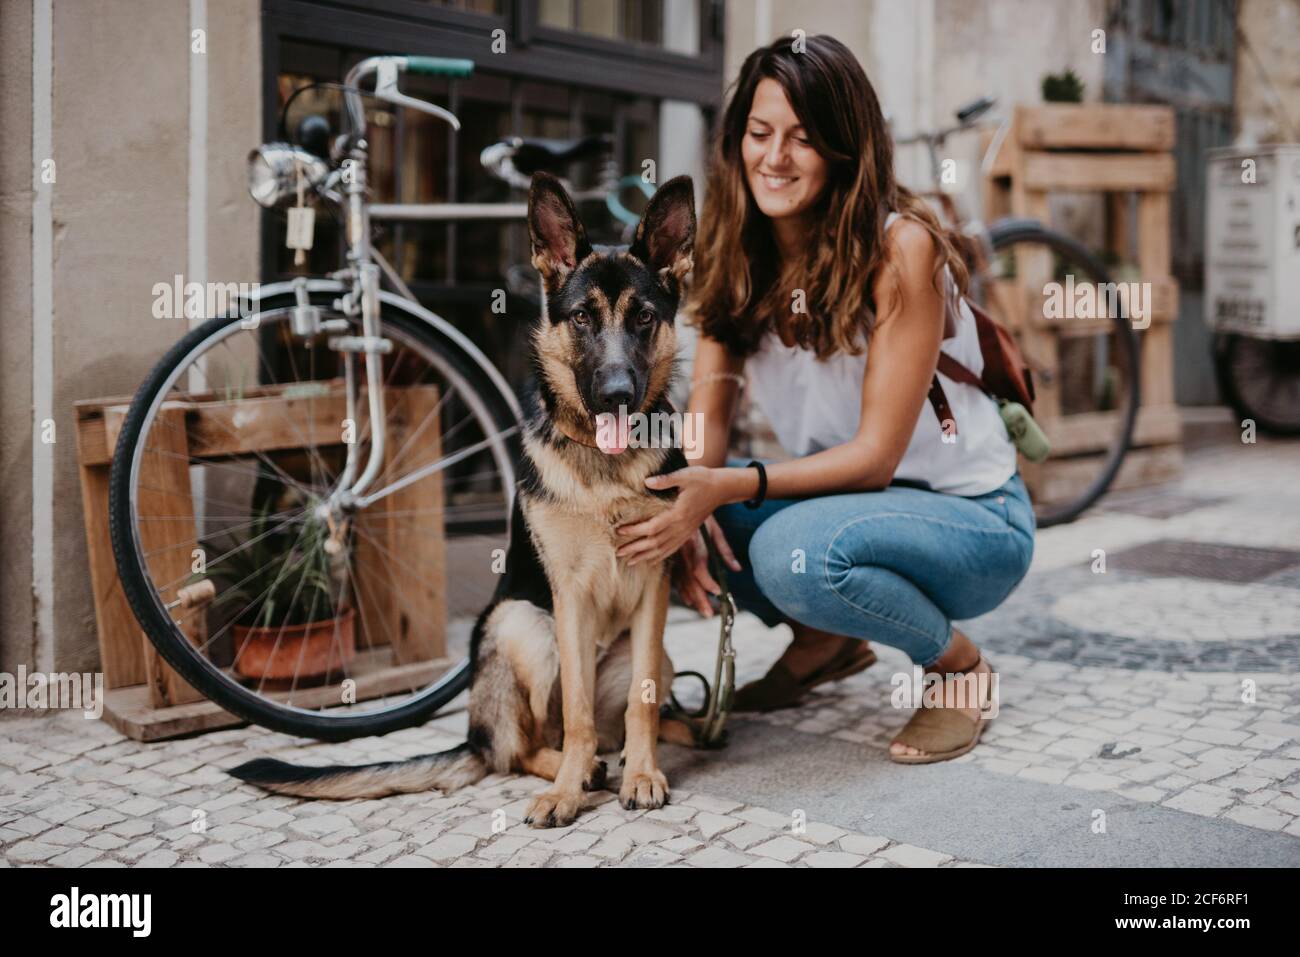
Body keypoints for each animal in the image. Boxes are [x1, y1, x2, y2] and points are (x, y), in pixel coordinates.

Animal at [233, 170, 702, 821]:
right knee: (522, 745)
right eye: (583, 318)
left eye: (644, 318)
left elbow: (643, 700)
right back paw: (576, 771)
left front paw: (644, 773)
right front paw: (567, 790)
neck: (602, 467)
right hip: (521, 624)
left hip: (644, 649)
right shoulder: (568, 598)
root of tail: (474, 733)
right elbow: (576, 711)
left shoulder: (654, 586)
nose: (616, 395)